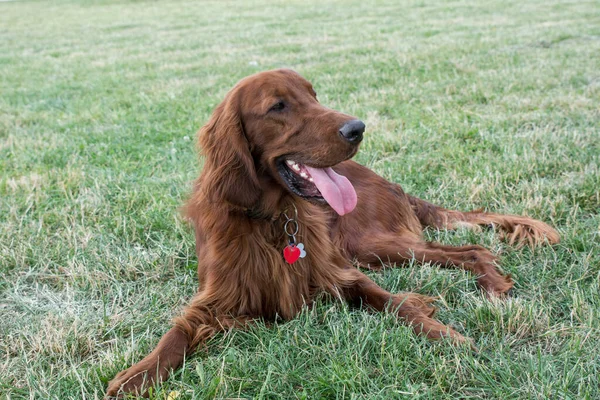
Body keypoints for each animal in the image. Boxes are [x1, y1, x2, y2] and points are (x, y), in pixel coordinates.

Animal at [104, 69, 556, 396]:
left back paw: (493, 287)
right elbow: (176, 333)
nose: (358, 128)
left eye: (314, 96)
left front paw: (445, 335)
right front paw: (136, 375)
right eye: (278, 106)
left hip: (369, 245)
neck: (273, 220)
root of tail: (389, 181)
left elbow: (395, 303)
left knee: (472, 249)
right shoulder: (217, 298)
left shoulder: (340, 271)